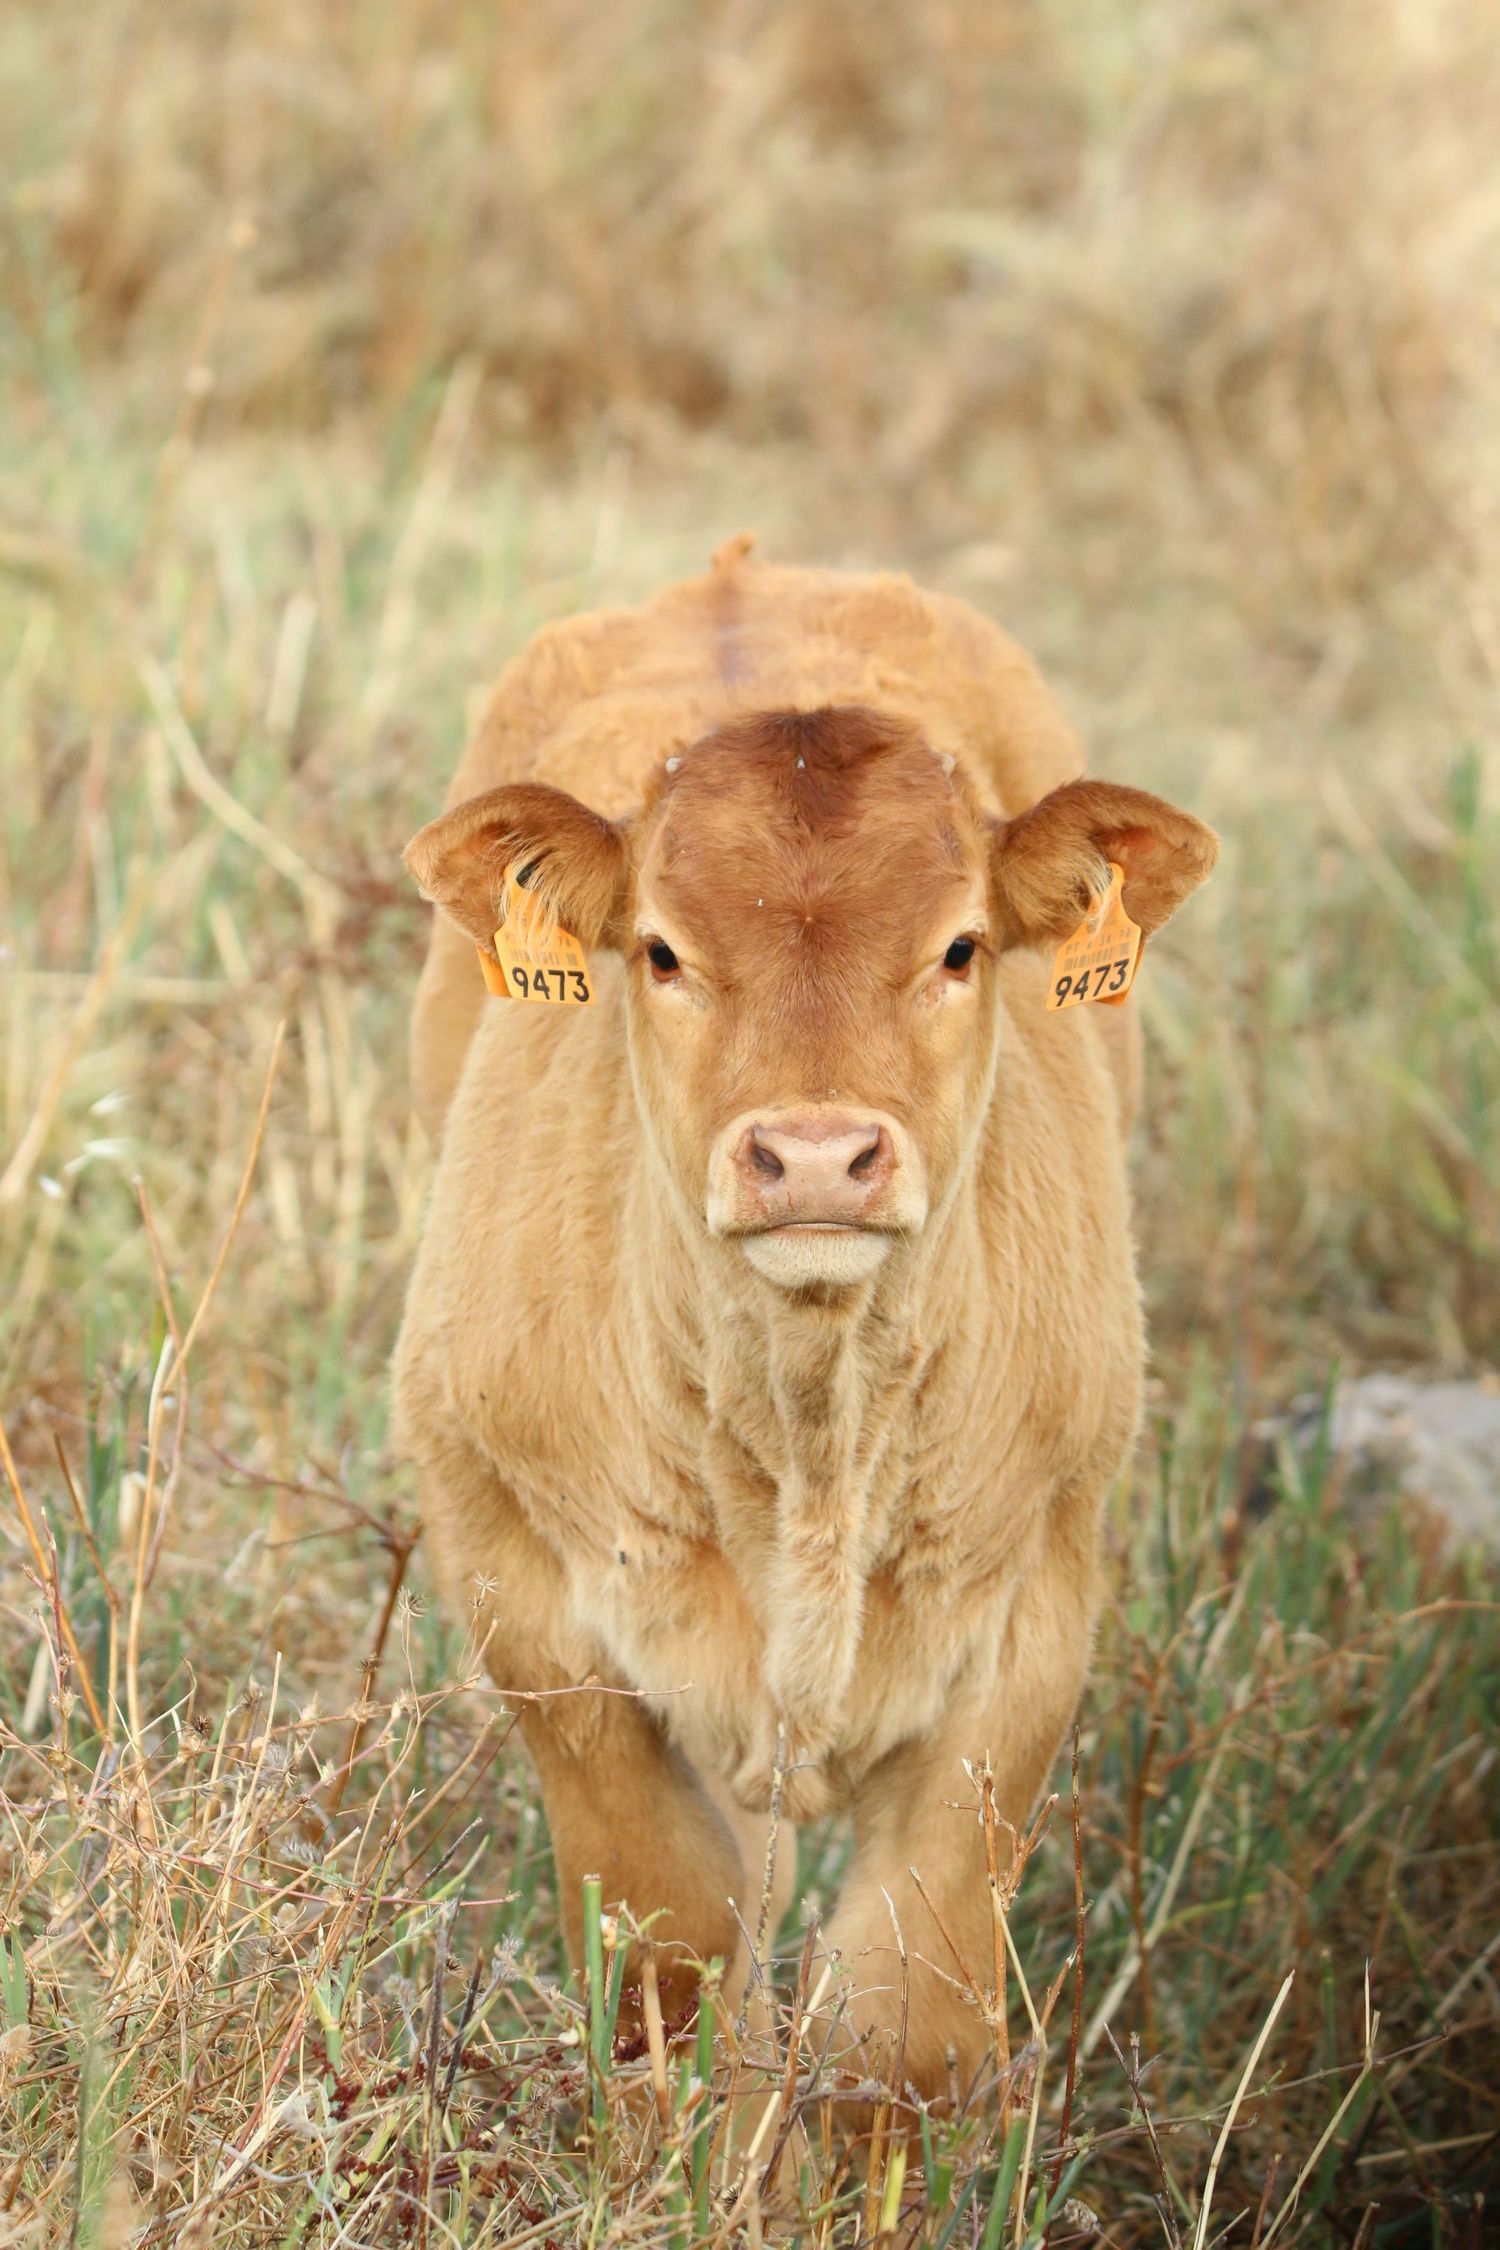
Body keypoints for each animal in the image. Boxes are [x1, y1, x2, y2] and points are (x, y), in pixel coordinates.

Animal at [392, 538, 1217, 2106]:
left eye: (961, 947)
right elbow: (676, 1955)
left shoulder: (1034, 1610)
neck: (812, 1437)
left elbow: (904, 2025)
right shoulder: (515, 1567)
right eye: (660, 951)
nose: (820, 1154)